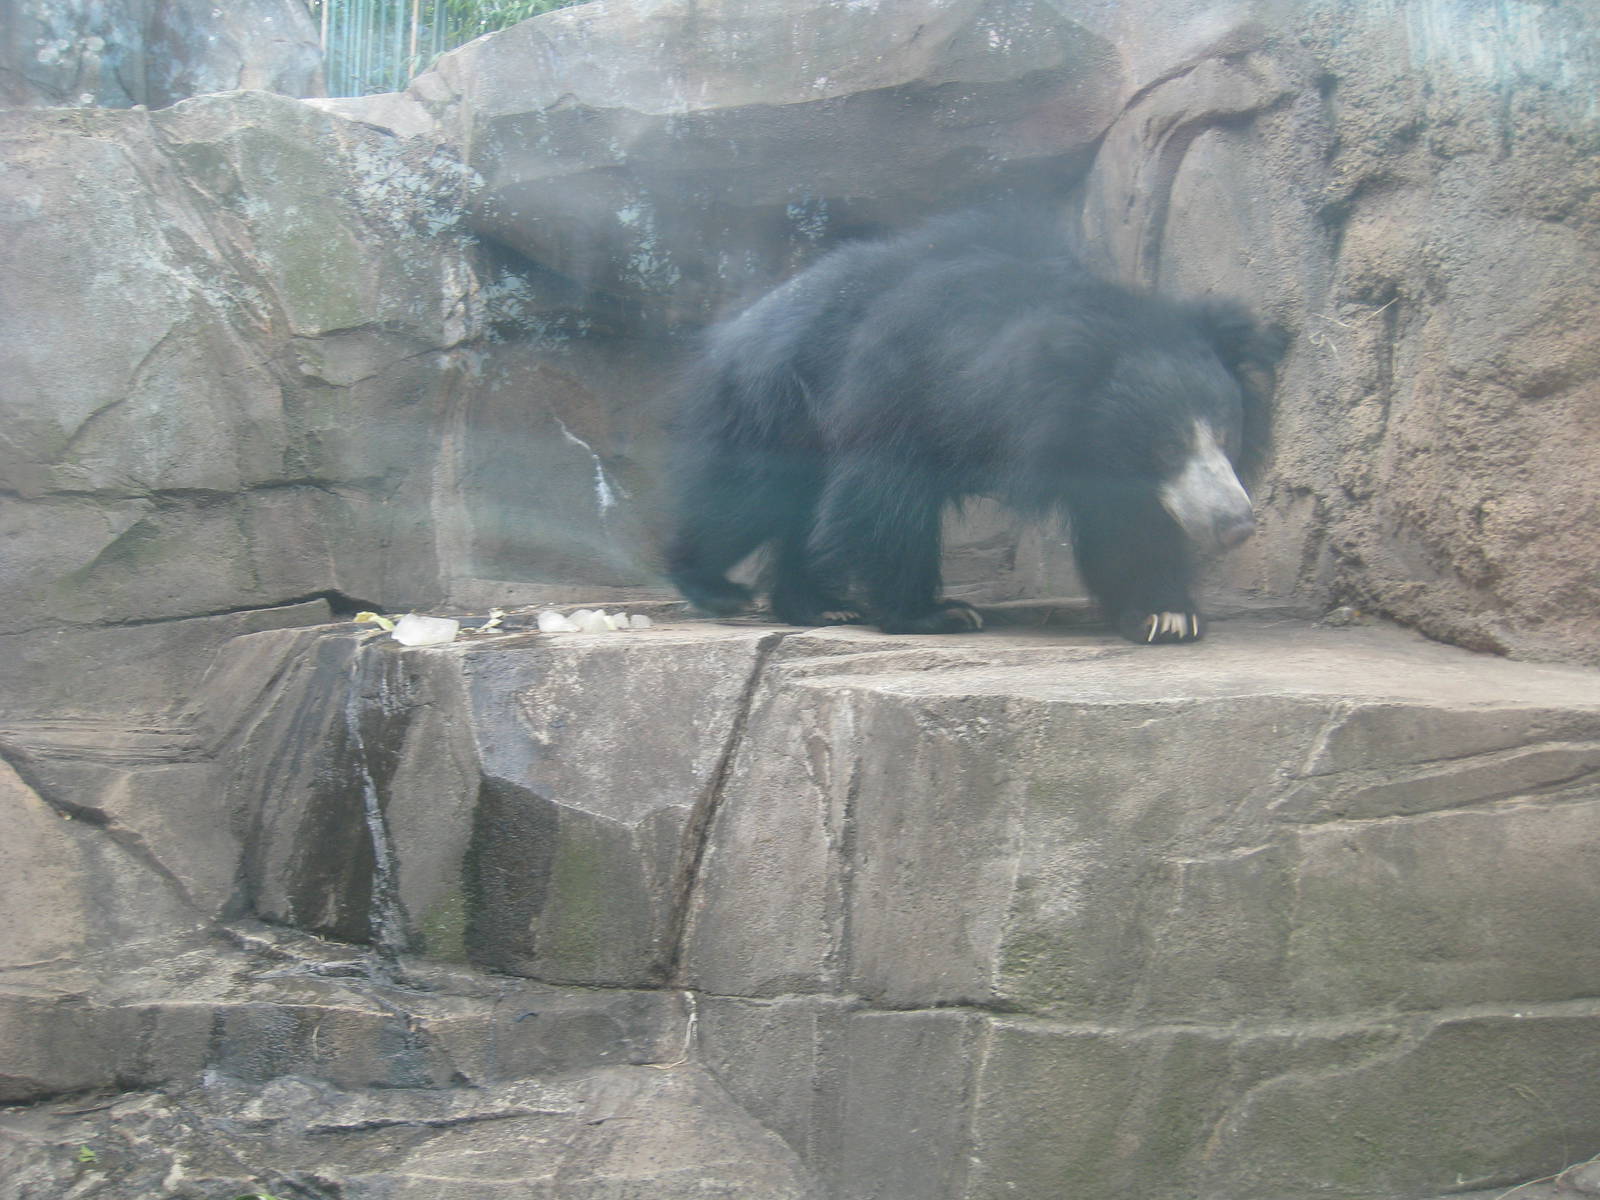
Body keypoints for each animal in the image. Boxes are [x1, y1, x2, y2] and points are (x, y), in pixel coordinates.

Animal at [664, 206, 1283, 641]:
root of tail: (735, 326)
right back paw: (717, 589)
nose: (1236, 524)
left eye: (1226, 435)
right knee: (749, 494)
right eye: (1164, 447)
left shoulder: (1098, 457)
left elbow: (1129, 525)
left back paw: (823, 606)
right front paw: (937, 614)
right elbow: (886, 495)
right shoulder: (903, 388)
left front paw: (1166, 614)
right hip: (776, 399)